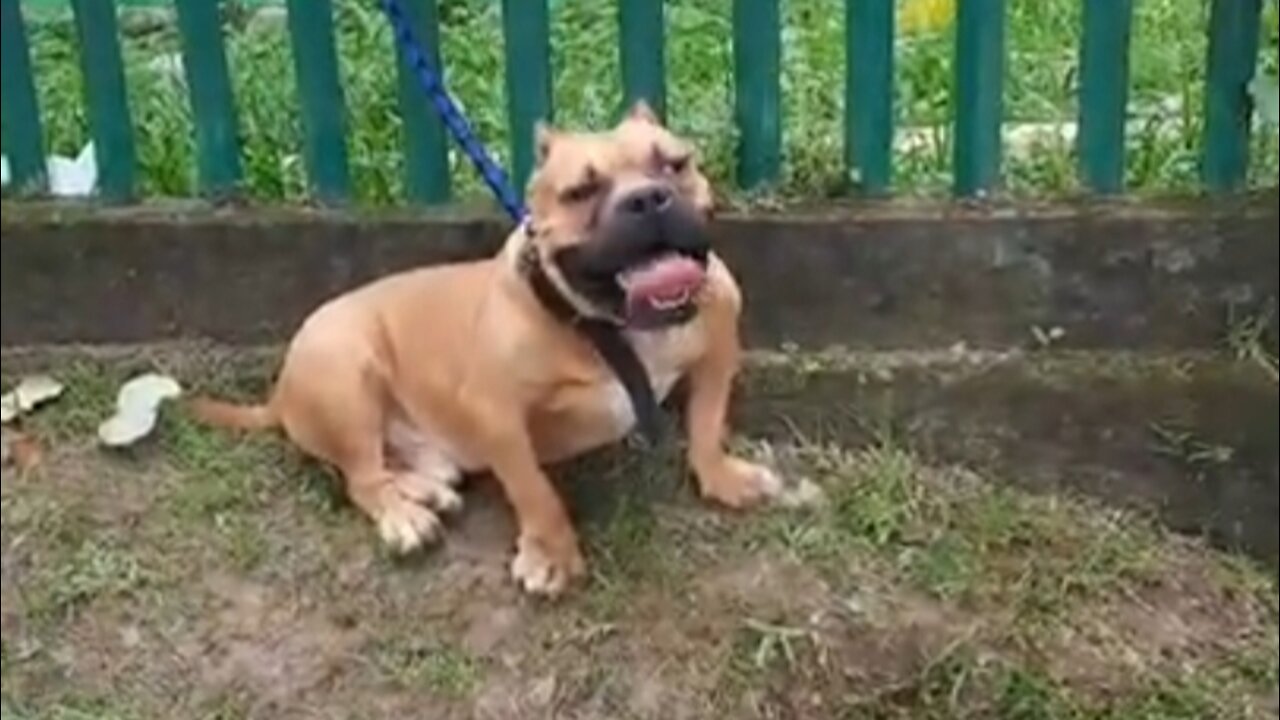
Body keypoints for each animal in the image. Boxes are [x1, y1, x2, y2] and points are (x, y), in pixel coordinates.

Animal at [192, 101, 778, 594]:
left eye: (675, 164)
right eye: (580, 192)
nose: (647, 199)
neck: (611, 325)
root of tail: (280, 394)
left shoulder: (718, 353)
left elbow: (706, 424)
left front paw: (723, 477)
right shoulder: (498, 416)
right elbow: (535, 491)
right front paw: (551, 555)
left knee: (386, 463)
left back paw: (425, 488)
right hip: (344, 376)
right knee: (362, 477)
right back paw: (404, 517)